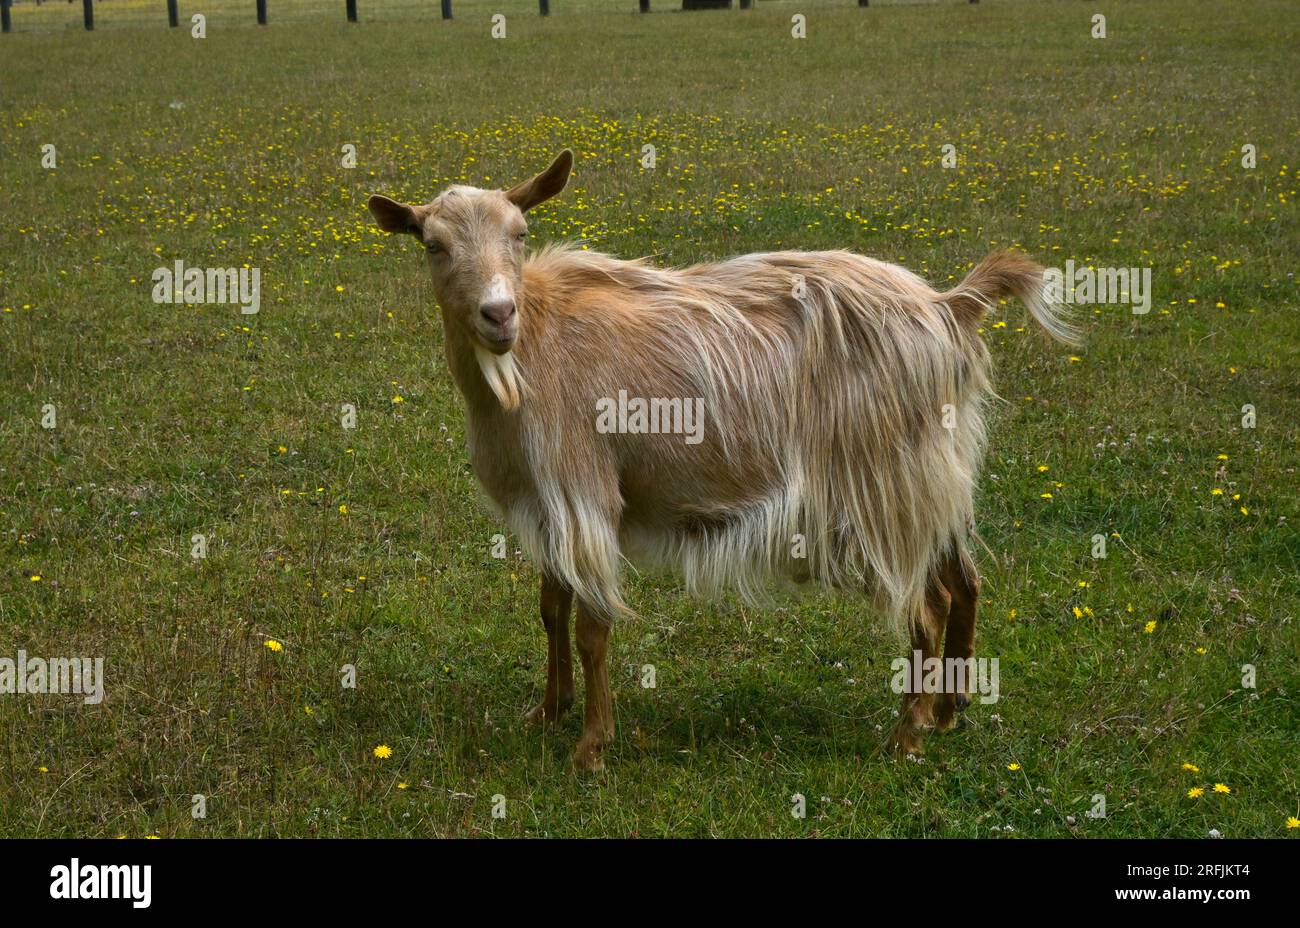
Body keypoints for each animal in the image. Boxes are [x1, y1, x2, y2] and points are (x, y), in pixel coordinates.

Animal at [369, 152, 1076, 769]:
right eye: (433, 244)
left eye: (520, 233)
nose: (498, 314)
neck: (536, 345)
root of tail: (948, 309)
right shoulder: (548, 505)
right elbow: (552, 608)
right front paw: (549, 711)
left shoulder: (586, 488)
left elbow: (593, 627)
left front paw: (592, 747)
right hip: (933, 478)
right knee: (964, 582)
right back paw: (949, 711)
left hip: (885, 484)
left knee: (925, 606)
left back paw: (907, 736)